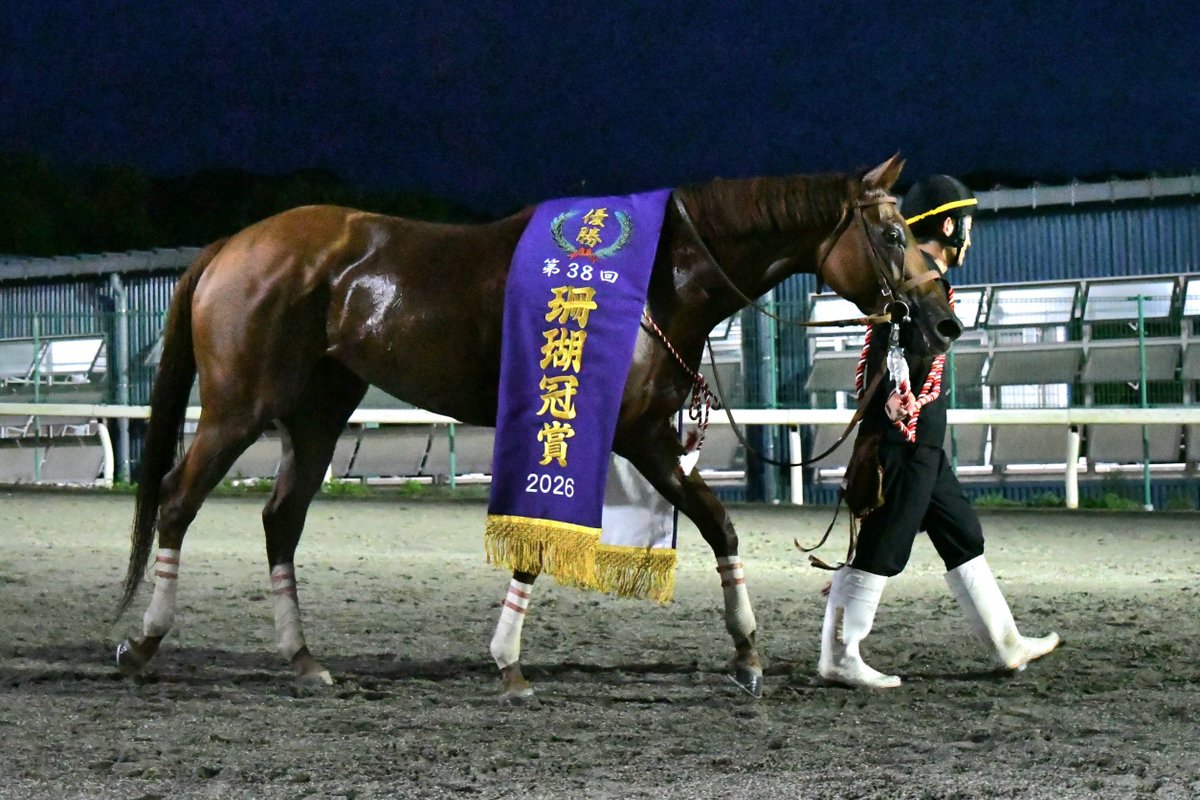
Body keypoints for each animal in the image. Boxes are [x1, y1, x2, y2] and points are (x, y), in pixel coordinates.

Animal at [114, 155, 962, 700]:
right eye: (892, 236)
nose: (945, 320)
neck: (658, 277)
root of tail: (231, 245)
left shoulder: (646, 435)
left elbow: (718, 526)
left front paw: (748, 655)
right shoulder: (601, 431)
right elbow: (537, 544)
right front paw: (509, 663)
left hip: (317, 414)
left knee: (279, 520)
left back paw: (303, 659)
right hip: (238, 407)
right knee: (177, 499)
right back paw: (144, 643)